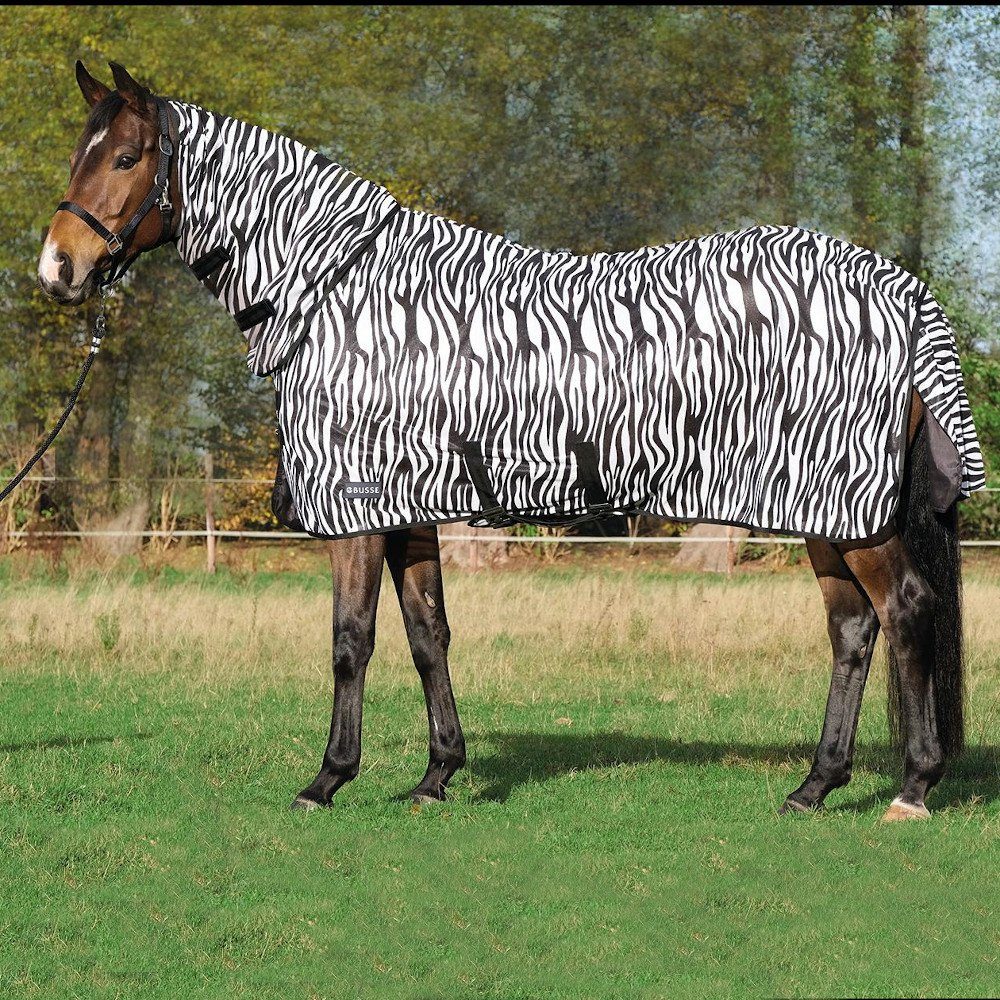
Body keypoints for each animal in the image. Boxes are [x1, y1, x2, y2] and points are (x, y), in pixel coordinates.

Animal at [36, 61, 986, 821]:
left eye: (126, 158)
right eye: (82, 151)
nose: (58, 269)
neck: (343, 294)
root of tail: (897, 288)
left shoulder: (358, 512)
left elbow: (352, 642)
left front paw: (327, 779)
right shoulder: (410, 512)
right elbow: (428, 635)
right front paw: (435, 778)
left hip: (852, 510)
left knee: (905, 611)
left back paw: (911, 787)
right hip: (825, 511)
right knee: (853, 631)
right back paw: (815, 786)